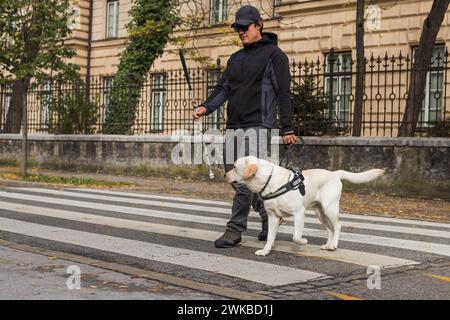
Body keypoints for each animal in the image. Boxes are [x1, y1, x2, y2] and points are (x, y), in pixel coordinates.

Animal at [225, 156, 384, 256]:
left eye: (234, 167)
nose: (225, 175)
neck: (269, 181)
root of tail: (335, 173)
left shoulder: (299, 213)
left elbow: (296, 236)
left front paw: (303, 242)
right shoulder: (273, 216)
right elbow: (270, 236)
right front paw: (266, 250)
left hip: (330, 208)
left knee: (337, 226)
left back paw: (333, 245)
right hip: (320, 213)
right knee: (330, 229)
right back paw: (328, 245)